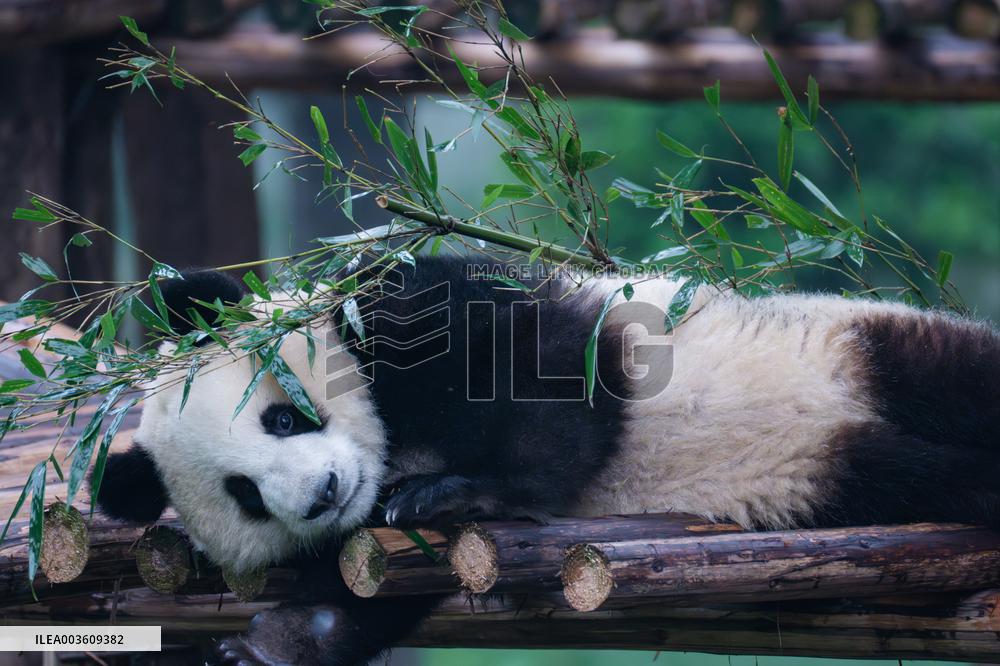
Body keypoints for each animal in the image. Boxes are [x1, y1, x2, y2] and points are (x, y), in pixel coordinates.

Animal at [93, 255, 1000, 665]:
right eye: (245, 494)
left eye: (282, 416)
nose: (322, 494)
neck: (390, 446)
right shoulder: (365, 550)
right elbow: (357, 595)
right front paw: (270, 645)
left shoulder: (408, 306)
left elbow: (552, 374)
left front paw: (460, 492)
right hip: (840, 473)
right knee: (920, 475)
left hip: (856, 344)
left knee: (954, 374)